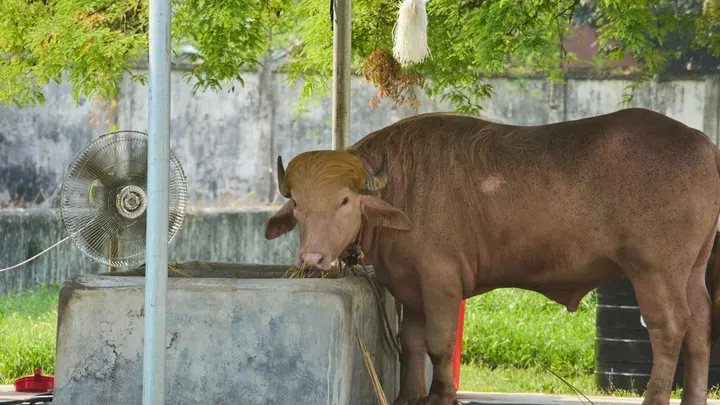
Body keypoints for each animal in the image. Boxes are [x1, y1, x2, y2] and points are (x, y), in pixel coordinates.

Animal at [264, 108, 720, 405]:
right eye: (298, 204)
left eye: (344, 201)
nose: (313, 259)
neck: (404, 187)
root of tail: (703, 144)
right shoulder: (409, 286)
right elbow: (412, 343)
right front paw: (410, 396)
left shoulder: (441, 280)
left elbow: (439, 343)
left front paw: (442, 395)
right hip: (693, 270)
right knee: (699, 326)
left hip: (654, 271)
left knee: (669, 329)